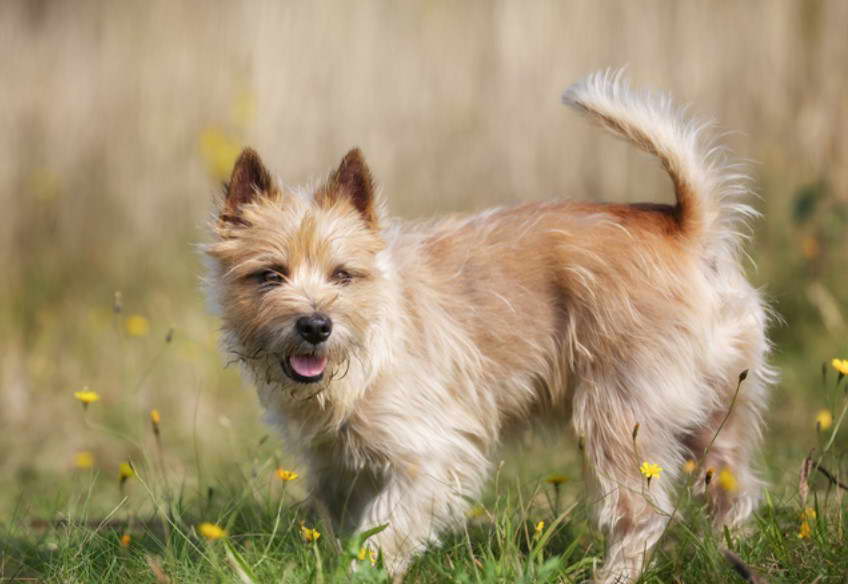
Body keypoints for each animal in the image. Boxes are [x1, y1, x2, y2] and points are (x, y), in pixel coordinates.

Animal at [205, 73, 776, 584]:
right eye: (269, 275)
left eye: (343, 275)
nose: (315, 325)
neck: (368, 344)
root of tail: (687, 227)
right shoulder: (340, 466)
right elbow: (350, 523)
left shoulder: (431, 454)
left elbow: (386, 530)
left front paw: (364, 570)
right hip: (718, 412)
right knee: (735, 486)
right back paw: (734, 555)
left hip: (619, 416)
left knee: (643, 512)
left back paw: (614, 574)